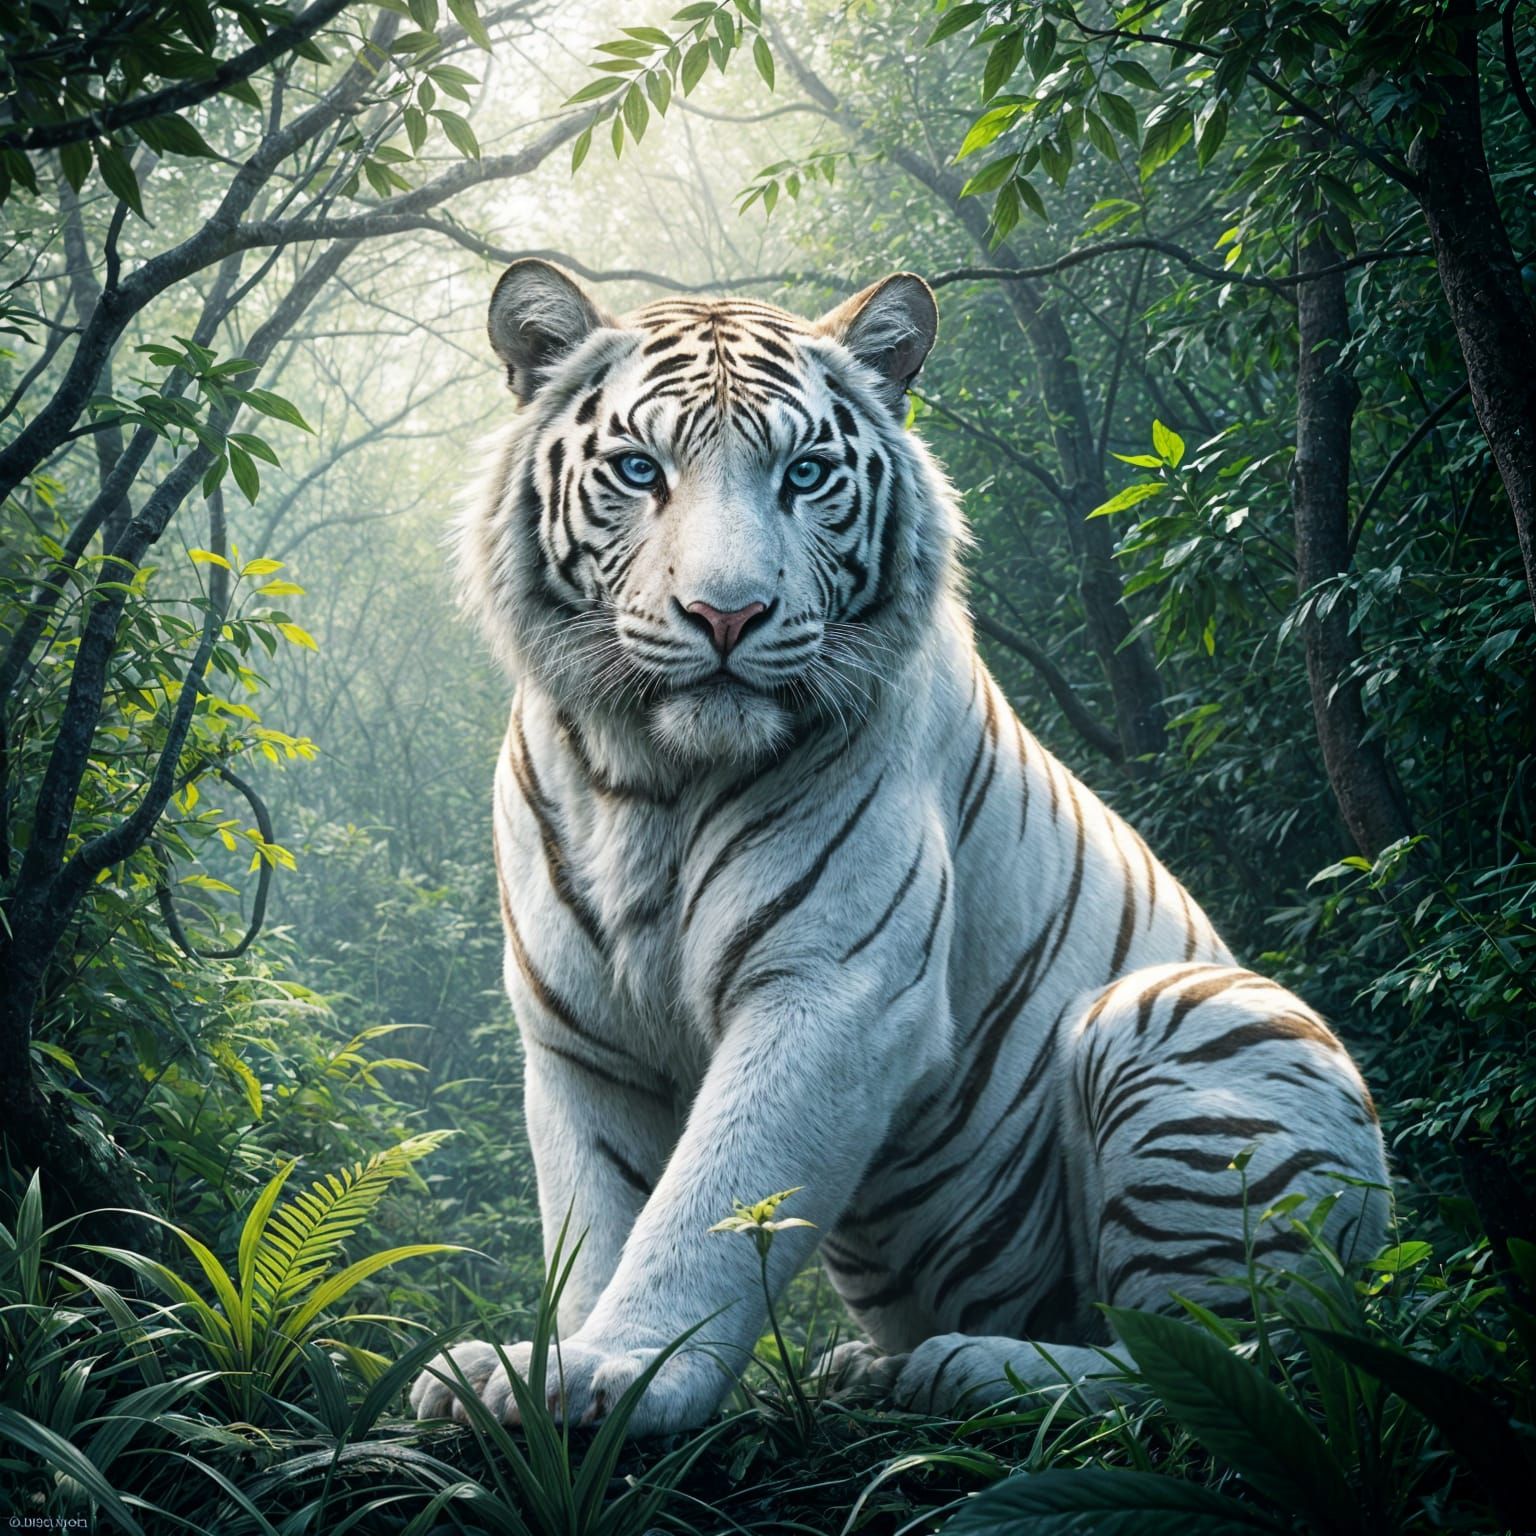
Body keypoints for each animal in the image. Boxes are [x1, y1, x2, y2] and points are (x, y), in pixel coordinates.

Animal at [409, 258, 1389, 1434]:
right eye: (641, 471)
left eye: (805, 474)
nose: (727, 615)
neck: (643, 779)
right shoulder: (581, 1035)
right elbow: (596, 1215)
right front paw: (535, 1368)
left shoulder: (833, 992)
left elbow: (708, 1204)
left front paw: (623, 1371)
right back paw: (869, 1368)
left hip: (1187, 1018)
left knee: (1228, 1362)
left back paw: (967, 1367)